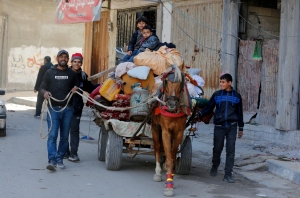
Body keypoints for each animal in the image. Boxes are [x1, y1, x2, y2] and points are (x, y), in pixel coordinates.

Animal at [151, 66, 189, 196]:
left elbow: (172, 156)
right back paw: (157, 172)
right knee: (157, 147)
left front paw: (171, 176)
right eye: (166, 82)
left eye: (180, 83)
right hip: (155, 127)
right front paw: (169, 185)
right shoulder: (165, 131)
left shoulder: (179, 132)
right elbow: (168, 158)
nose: (172, 104)